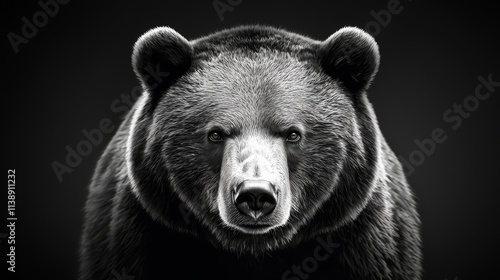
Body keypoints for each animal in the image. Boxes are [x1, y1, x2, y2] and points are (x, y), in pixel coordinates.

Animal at [79, 25, 422, 278]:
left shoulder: (362, 237)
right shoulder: (141, 232)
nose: (255, 195)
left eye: (293, 134)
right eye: (215, 134)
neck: (253, 250)